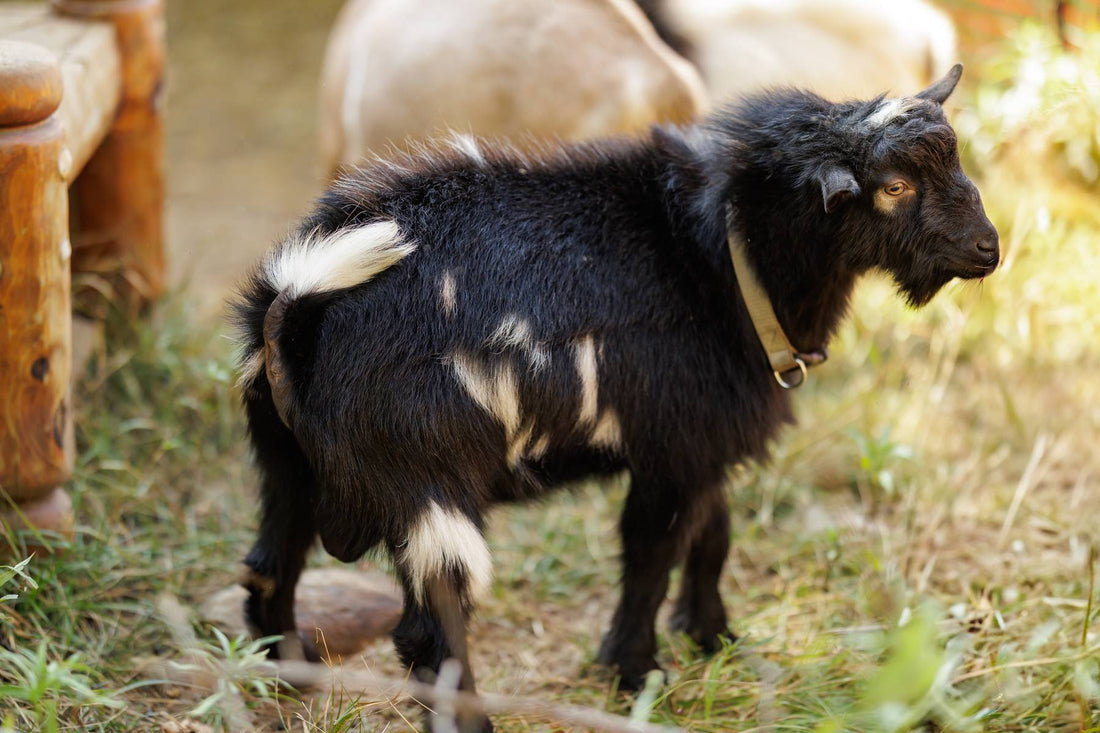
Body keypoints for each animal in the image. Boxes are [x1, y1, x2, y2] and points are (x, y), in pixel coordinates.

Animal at [234, 65, 997, 732]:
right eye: (894, 186)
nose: (989, 249)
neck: (717, 258)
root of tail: (294, 309)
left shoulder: (699, 438)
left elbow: (712, 535)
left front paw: (713, 636)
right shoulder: (673, 449)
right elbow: (650, 558)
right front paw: (635, 672)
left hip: (285, 464)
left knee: (269, 571)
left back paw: (289, 678)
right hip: (426, 488)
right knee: (429, 631)